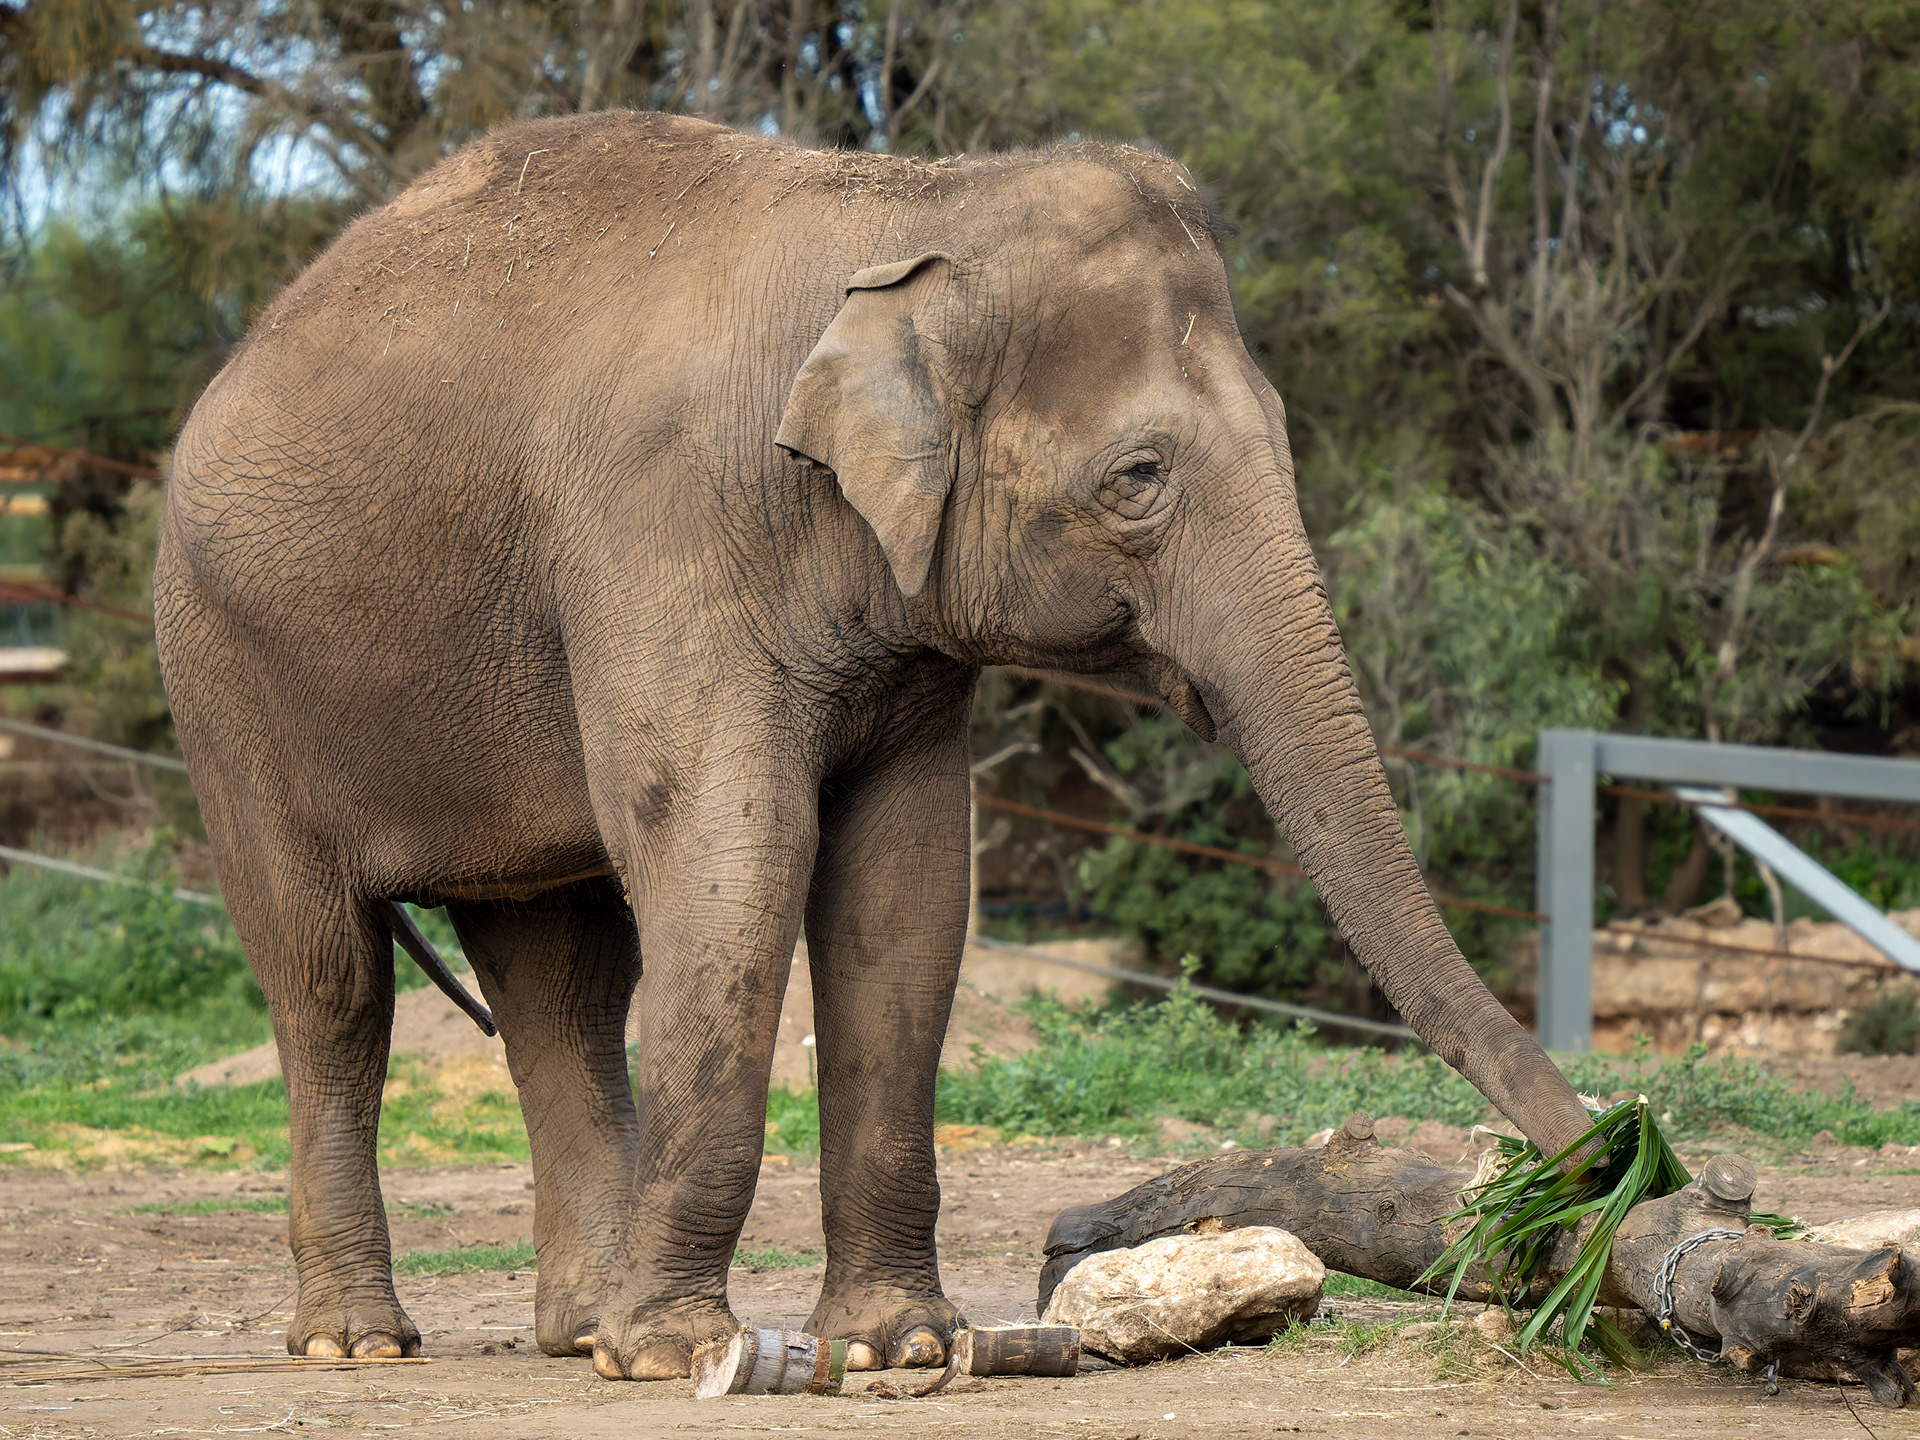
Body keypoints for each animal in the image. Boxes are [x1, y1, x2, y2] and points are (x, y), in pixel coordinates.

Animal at [153, 110, 1594, 1381]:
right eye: (1138, 478)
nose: (1608, 1160)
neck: (914, 200)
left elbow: (903, 895)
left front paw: (894, 1347)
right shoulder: (661, 532)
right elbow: (734, 860)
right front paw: (679, 1356)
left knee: (559, 978)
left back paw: (577, 1333)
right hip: (222, 679)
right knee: (330, 979)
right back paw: (362, 1341)